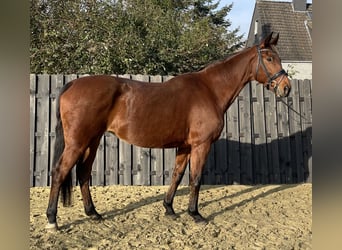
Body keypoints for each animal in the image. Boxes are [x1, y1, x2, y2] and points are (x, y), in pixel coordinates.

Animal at [45, 32, 292, 229]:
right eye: (269, 58)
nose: (286, 88)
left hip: (92, 141)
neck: (209, 90)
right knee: (59, 172)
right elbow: (195, 178)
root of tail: (72, 84)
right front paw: (195, 214)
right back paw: (52, 220)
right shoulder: (201, 145)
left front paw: (169, 208)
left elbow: (177, 175)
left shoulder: (185, 146)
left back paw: (93, 213)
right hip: (78, 142)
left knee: (83, 173)